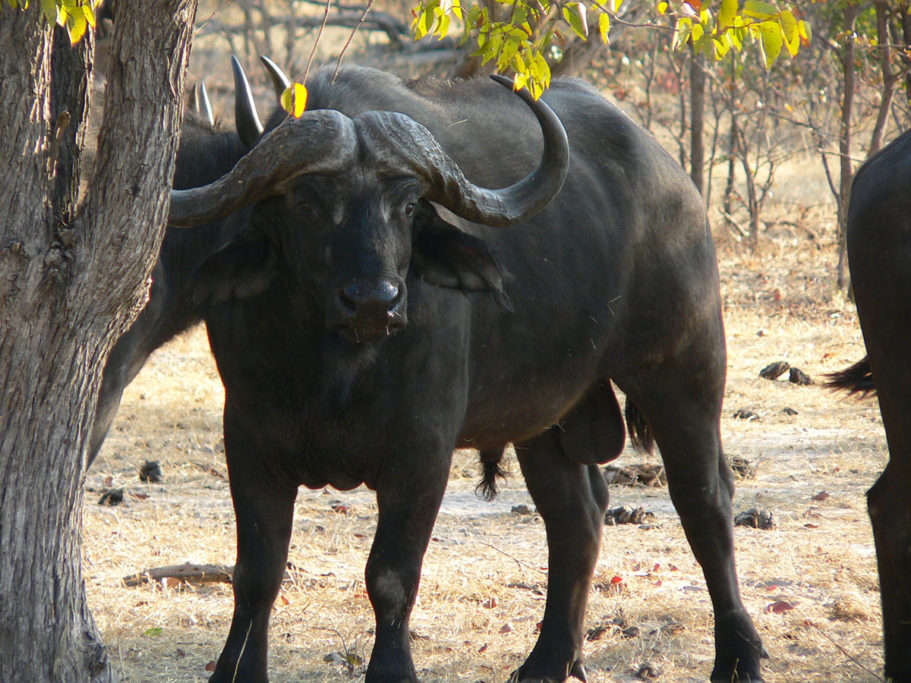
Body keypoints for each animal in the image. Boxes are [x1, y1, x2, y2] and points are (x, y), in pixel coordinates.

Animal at [155, 60, 764, 683]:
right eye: (306, 202)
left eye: (406, 205)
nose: (374, 301)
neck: (335, 371)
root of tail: (674, 181)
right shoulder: (248, 440)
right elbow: (256, 574)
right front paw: (234, 667)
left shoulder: (422, 453)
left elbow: (391, 575)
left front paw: (393, 669)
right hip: (544, 417)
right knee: (576, 515)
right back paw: (548, 659)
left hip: (683, 371)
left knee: (705, 500)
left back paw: (739, 653)